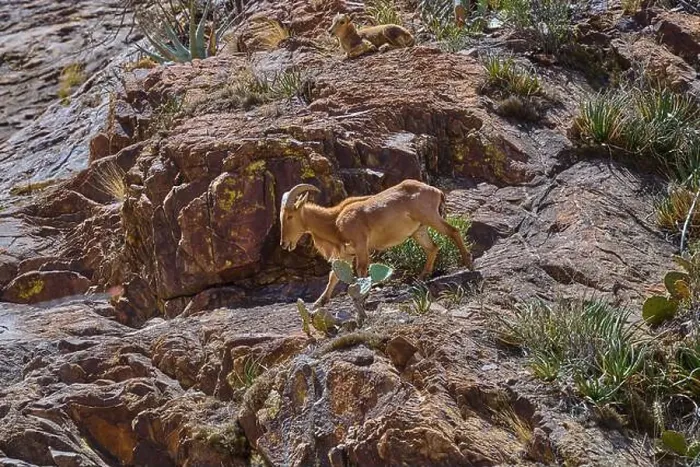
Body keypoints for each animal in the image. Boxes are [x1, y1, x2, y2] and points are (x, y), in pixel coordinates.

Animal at [279, 179, 473, 309]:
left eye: (289, 216)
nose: (284, 243)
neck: (334, 221)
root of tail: (436, 191)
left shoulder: (360, 245)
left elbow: (361, 271)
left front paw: (362, 297)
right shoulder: (346, 254)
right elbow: (334, 275)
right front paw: (319, 302)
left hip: (430, 217)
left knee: (454, 231)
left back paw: (468, 263)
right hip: (419, 230)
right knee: (433, 247)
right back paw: (422, 277)